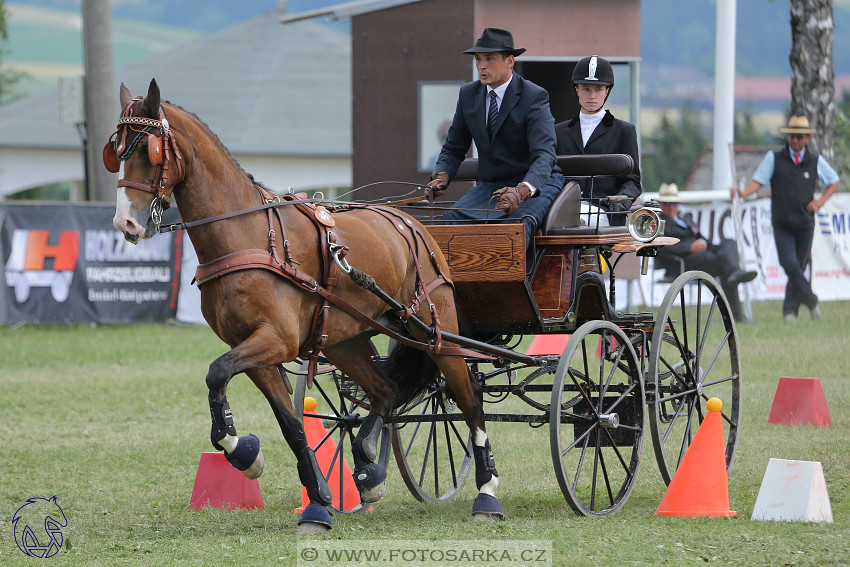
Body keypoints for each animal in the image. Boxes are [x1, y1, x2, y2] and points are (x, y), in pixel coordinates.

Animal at [107, 79, 504, 532]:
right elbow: (291, 424)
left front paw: (239, 447)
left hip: (436, 332)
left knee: (468, 398)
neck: (245, 235)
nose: (126, 224)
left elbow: (216, 372)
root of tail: (412, 223)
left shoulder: (275, 340)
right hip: (345, 342)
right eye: (116, 150)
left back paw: (487, 490)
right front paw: (310, 495)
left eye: (147, 150)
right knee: (385, 392)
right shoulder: (255, 350)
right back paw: (368, 470)